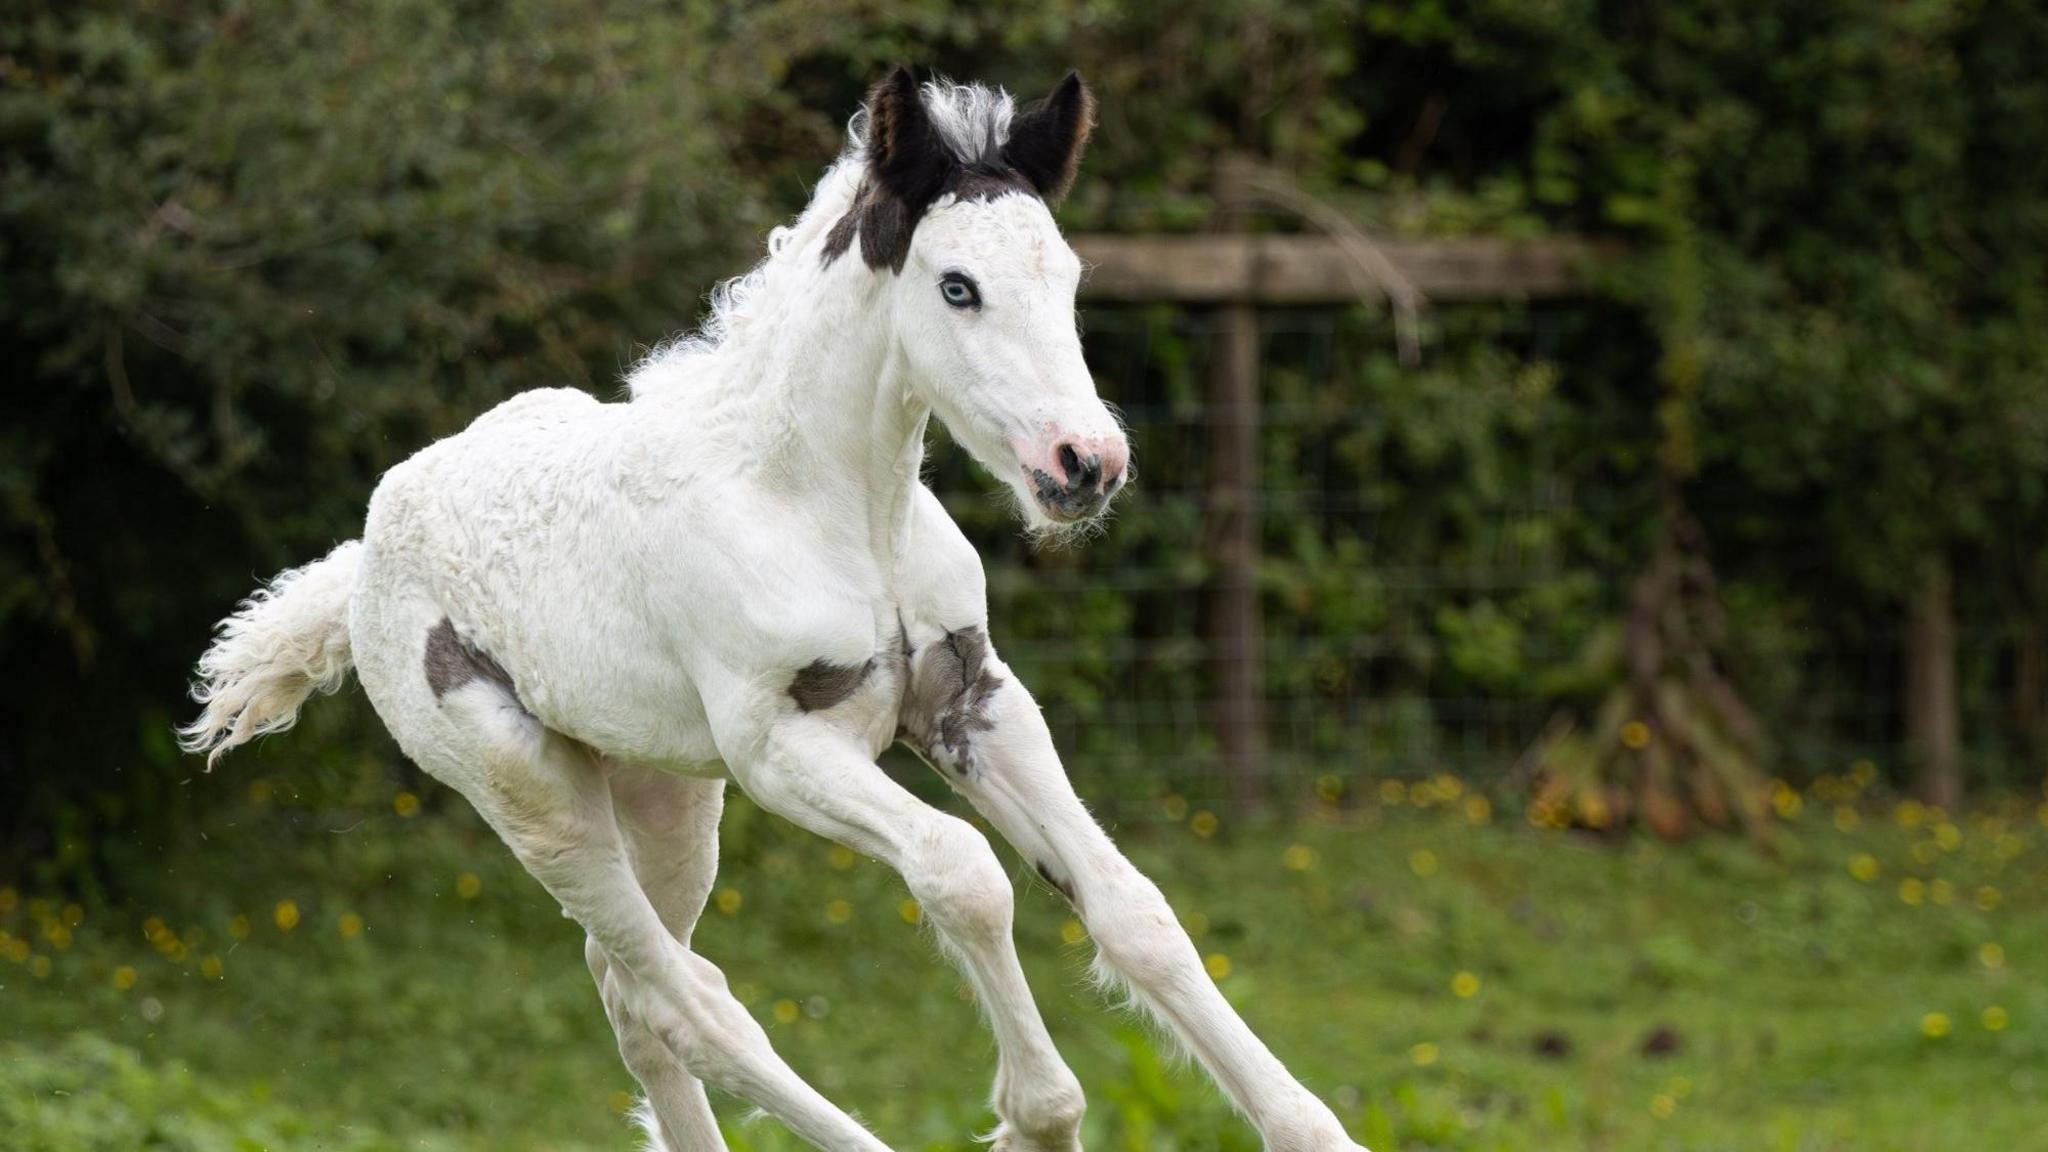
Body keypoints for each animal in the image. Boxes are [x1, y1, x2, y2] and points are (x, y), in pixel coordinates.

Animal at [184, 69, 1368, 1147]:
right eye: (956, 287)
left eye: (1069, 277)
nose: (1085, 465)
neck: (833, 507)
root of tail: (367, 548)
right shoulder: (782, 747)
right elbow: (964, 875)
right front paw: (1039, 1117)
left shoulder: (971, 699)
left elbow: (1134, 912)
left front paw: (1307, 1127)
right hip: (532, 793)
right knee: (692, 1006)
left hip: (666, 794)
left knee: (629, 995)